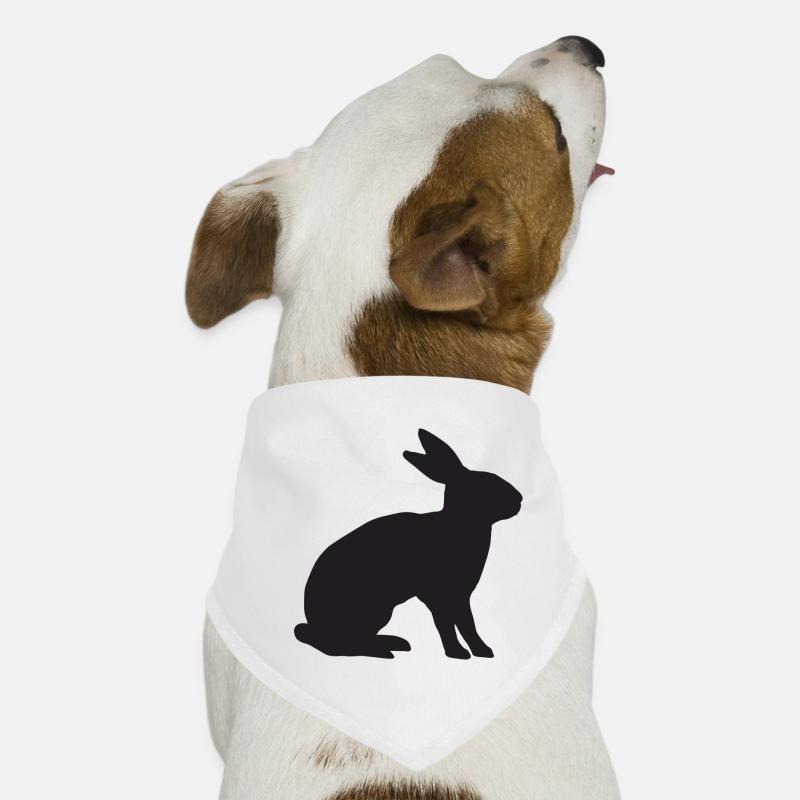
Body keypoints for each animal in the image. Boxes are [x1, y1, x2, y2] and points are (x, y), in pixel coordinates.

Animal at [294, 428, 523, 660]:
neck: (460, 523)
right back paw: (384, 651)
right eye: (486, 485)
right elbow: (449, 624)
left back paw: (395, 643)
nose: (519, 499)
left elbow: (466, 623)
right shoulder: (439, 595)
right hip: (373, 609)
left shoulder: (459, 597)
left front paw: (482, 650)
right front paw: (459, 653)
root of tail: (314, 624)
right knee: (340, 645)